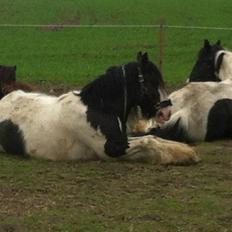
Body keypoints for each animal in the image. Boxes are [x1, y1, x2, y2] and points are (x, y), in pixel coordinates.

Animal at [0, 52, 199, 165]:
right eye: (151, 82)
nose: (166, 112)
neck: (98, 108)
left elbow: (154, 137)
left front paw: (185, 151)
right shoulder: (111, 149)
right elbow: (149, 141)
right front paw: (184, 155)